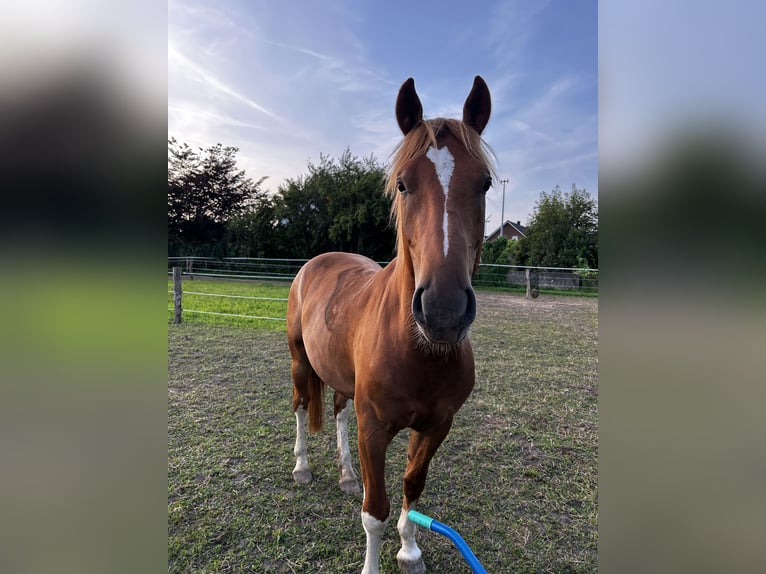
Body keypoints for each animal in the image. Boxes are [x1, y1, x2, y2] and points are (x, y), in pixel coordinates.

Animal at [290, 77, 498, 574]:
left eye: (484, 183)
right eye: (403, 184)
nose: (443, 309)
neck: (418, 350)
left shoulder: (436, 426)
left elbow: (411, 486)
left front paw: (410, 550)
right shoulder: (374, 429)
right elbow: (375, 511)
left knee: (338, 411)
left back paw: (347, 474)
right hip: (299, 360)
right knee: (301, 407)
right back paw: (302, 467)